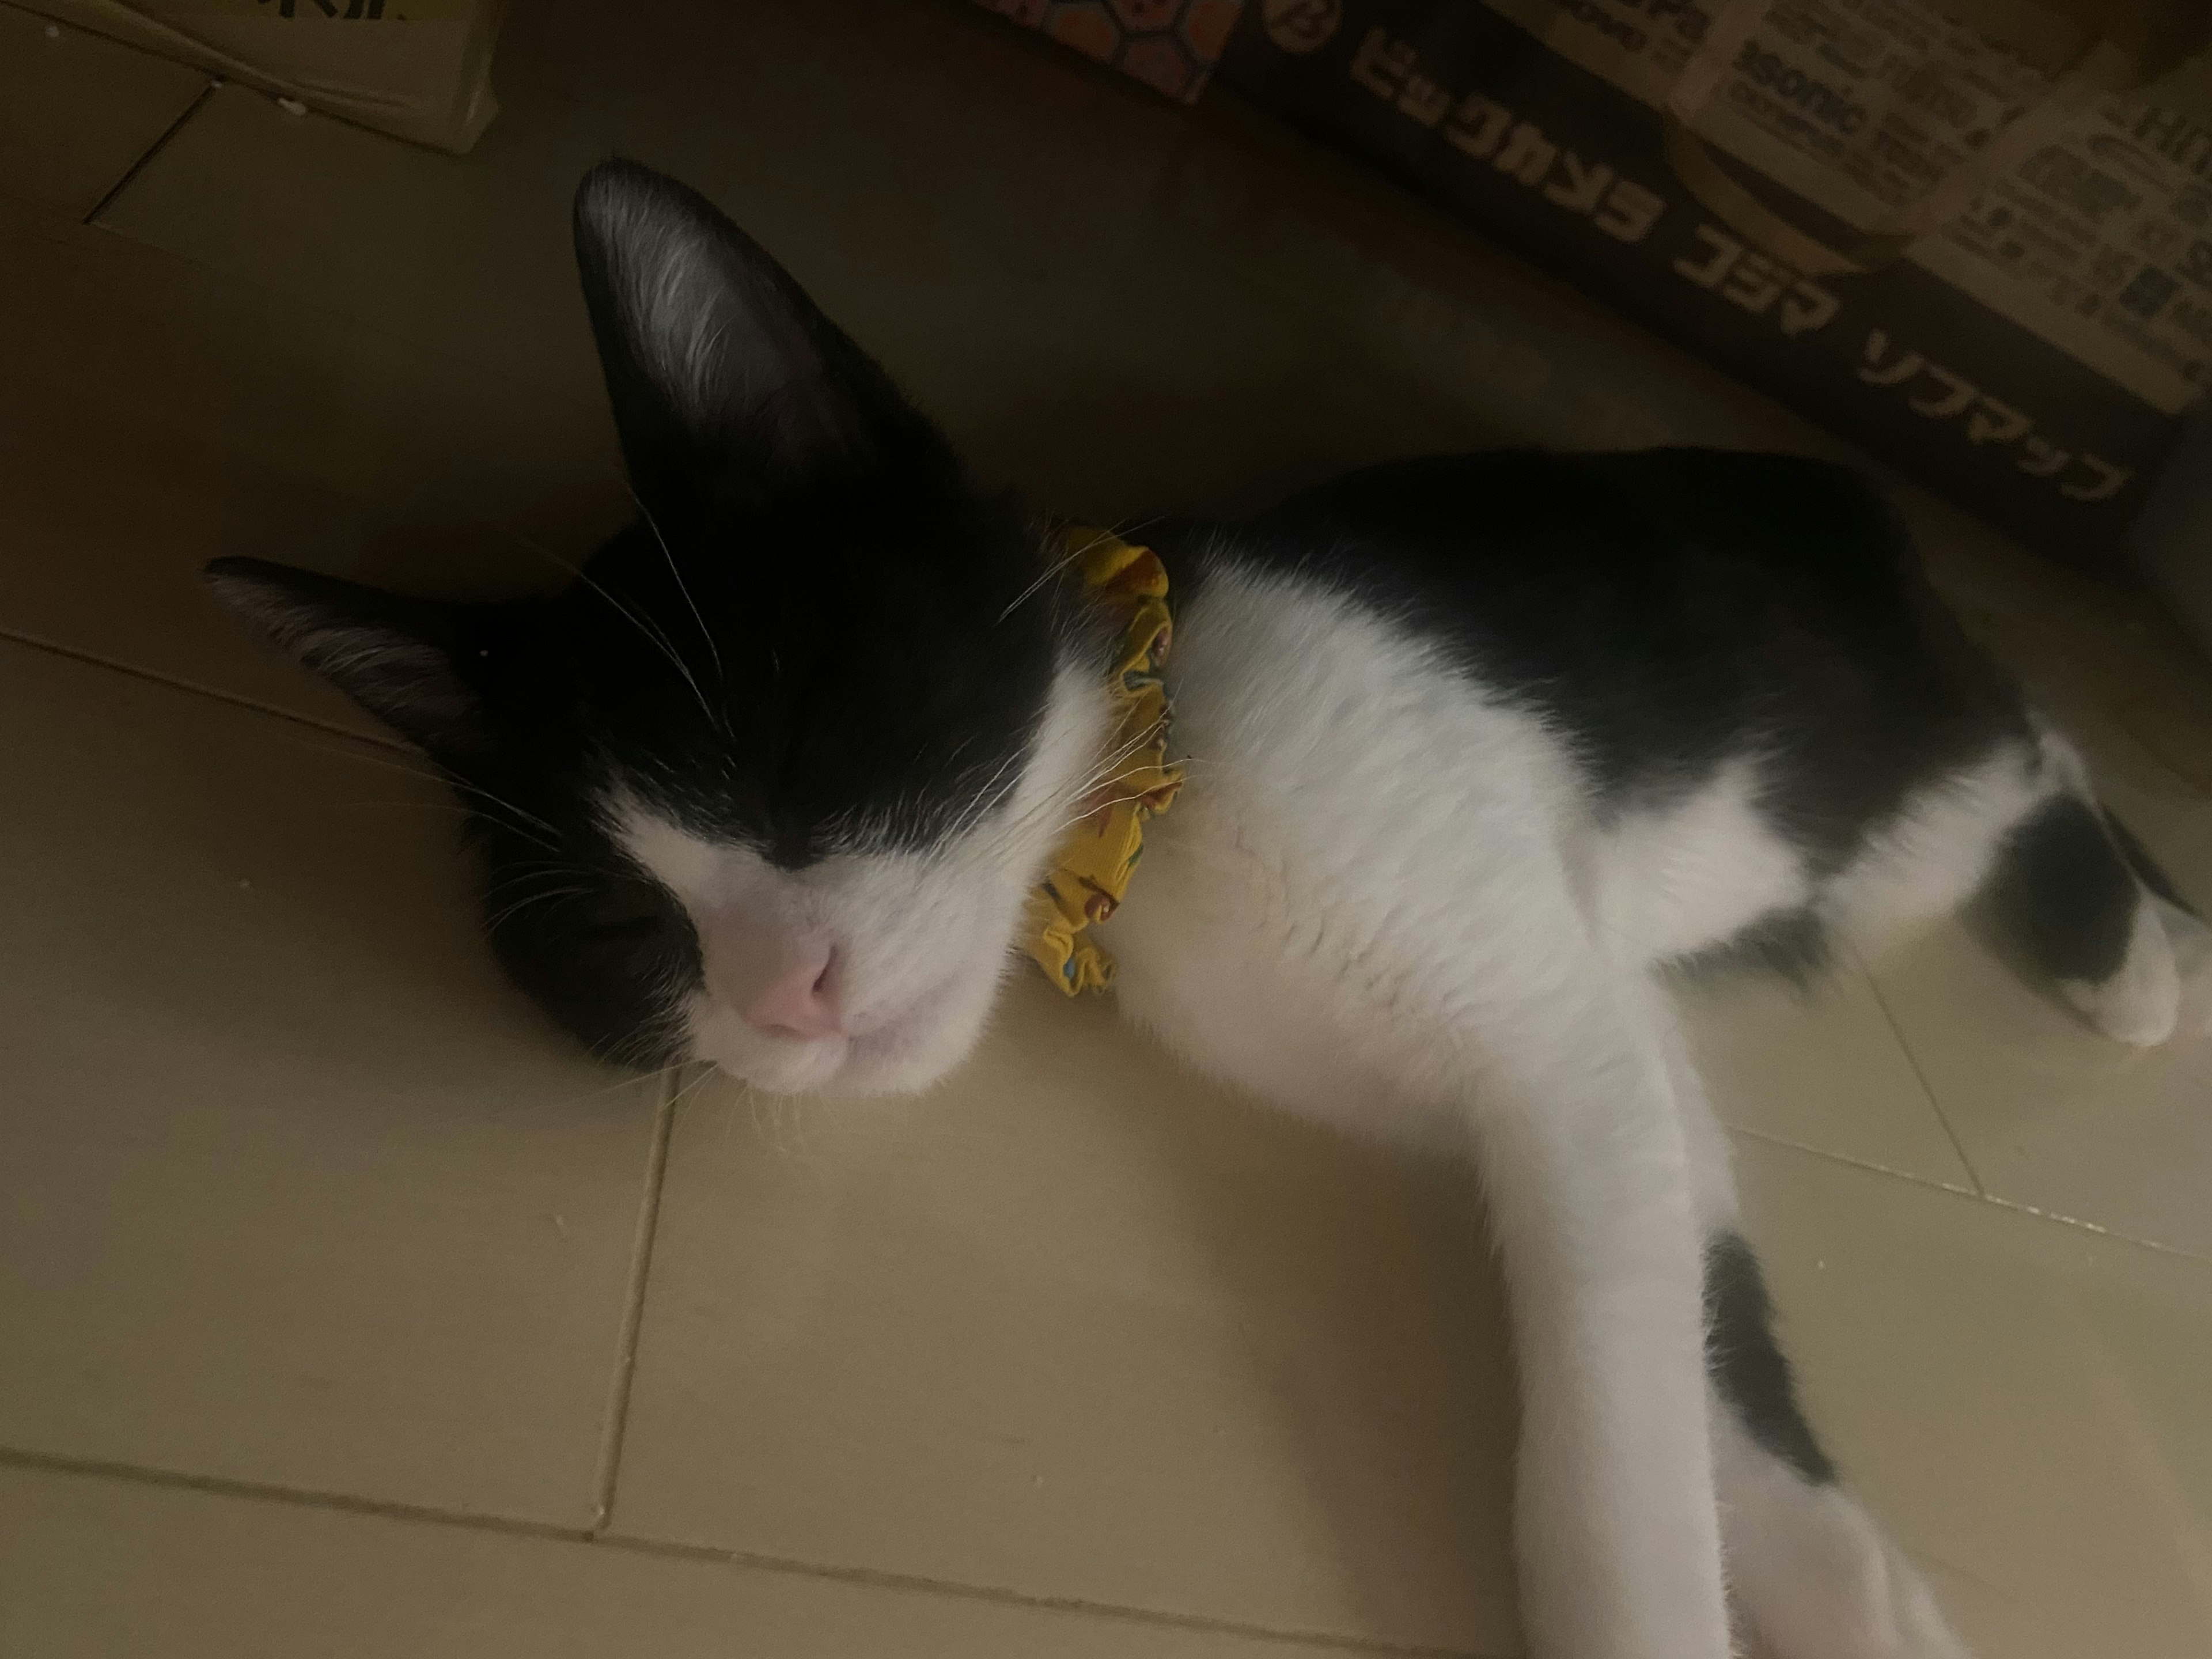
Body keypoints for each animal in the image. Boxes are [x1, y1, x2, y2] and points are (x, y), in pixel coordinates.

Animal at [207, 159, 2194, 1659]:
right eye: (626, 941)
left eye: (799, 760)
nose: (789, 998)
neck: (1157, 807)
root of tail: (1832, 488)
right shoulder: (1605, 1051)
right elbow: (1687, 1293)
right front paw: (1856, 1598)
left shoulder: (1545, 1026)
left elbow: (1610, 1442)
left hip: (1880, 770)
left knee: (2040, 742)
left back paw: (2134, 952)